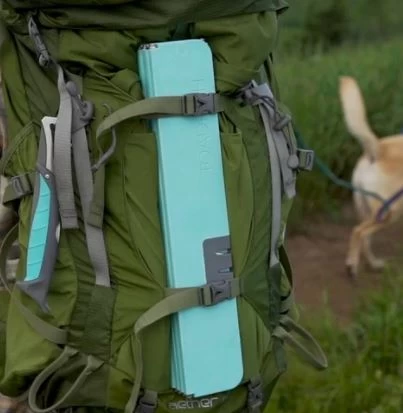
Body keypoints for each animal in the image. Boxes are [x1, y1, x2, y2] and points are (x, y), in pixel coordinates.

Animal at [339, 76, 403, 279]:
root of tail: (379, 149)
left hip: (370, 210)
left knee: (365, 238)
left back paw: (373, 264)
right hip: (389, 213)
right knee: (359, 232)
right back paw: (352, 266)